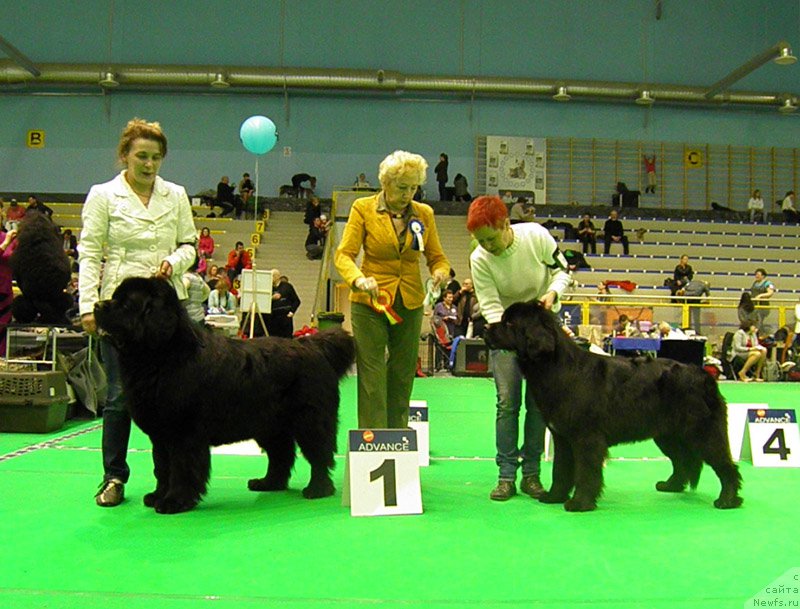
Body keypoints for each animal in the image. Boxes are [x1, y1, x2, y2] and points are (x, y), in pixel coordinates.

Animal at [94, 276, 356, 512]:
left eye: (125, 305)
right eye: (115, 297)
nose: (96, 305)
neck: (163, 356)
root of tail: (312, 345)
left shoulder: (183, 434)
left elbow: (181, 468)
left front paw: (174, 501)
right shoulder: (161, 436)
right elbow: (162, 467)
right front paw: (157, 495)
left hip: (310, 420)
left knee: (319, 453)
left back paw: (317, 489)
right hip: (270, 426)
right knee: (281, 454)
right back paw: (268, 483)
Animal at [488, 302, 744, 510]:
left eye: (509, 323)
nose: (485, 329)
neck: (557, 368)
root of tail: (705, 376)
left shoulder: (586, 438)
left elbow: (586, 472)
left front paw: (580, 503)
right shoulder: (562, 438)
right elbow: (560, 469)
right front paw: (554, 497)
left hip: (704, 433)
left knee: (725, 465)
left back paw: (728, 500)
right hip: (668, 435)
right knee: (683, 460)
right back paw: (671, 485)